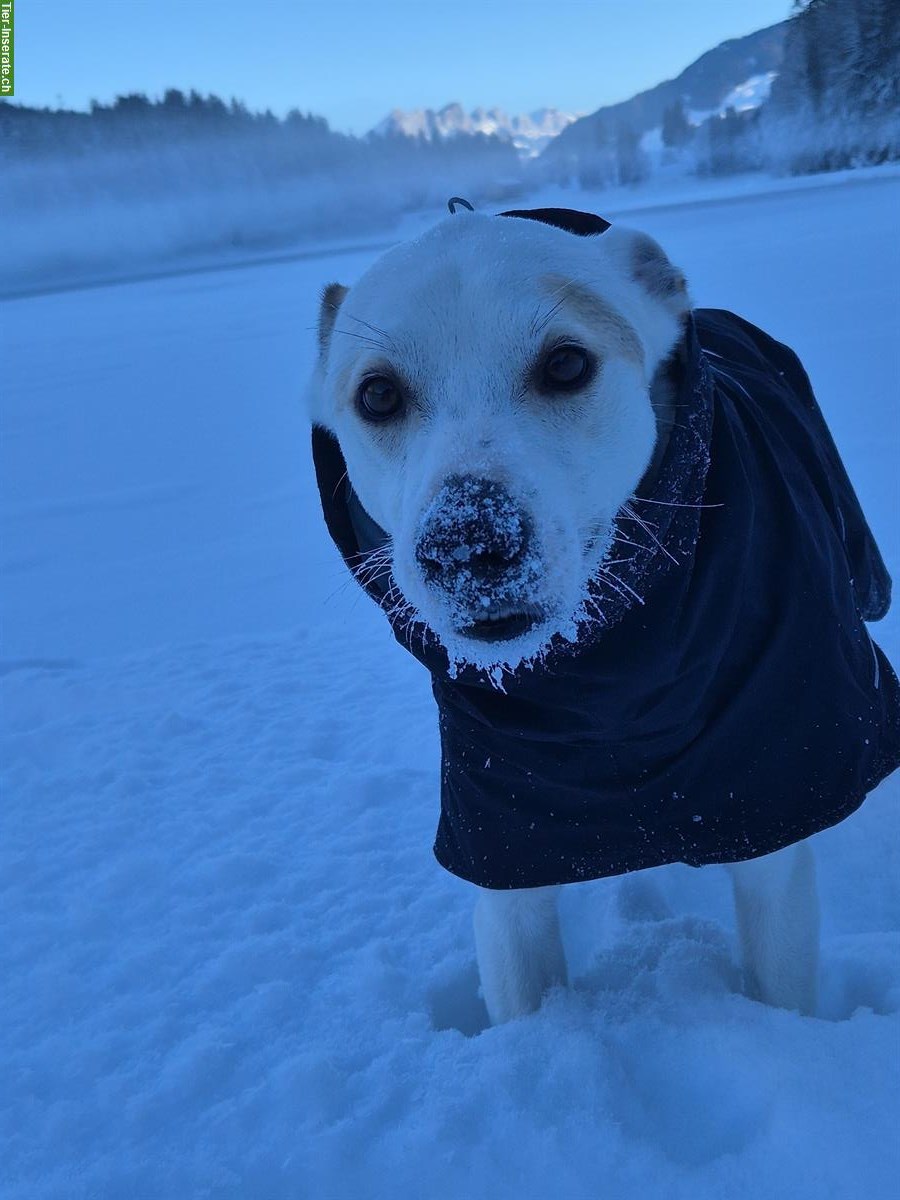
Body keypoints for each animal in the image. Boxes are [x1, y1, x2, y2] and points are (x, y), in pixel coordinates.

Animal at [307, 201, 897, 1027]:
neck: (606, 693)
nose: (466, 542)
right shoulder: (502, 859)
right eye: (378, 396)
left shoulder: (774, 827)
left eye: (566, 365)